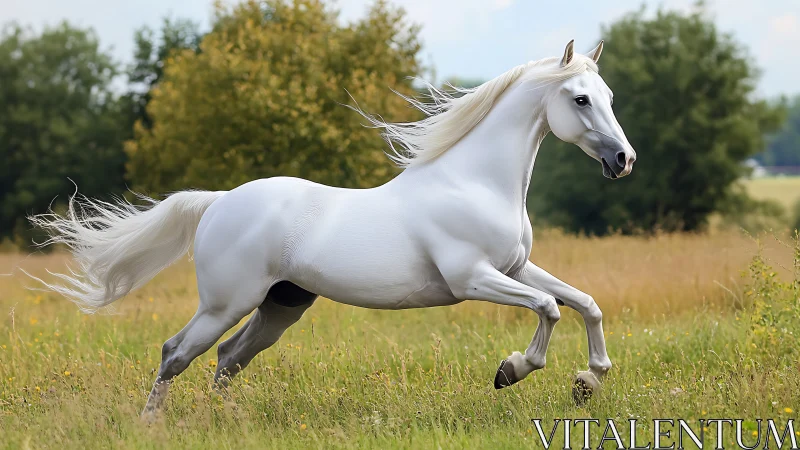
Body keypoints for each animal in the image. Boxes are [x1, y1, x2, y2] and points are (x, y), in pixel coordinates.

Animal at [30, 40, 636, 420]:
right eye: (580, 98)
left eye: (609, 96)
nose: (623, 161)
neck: (476, 181)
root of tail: (219, 202)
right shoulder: (473, 278)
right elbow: (550, 308)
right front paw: (512, 371)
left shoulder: (516, 268)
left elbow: (584, 303)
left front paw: (588, 382)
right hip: (227, 303)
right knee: (176, 353)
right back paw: (151, 423)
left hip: (281, 305)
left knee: (228, 358)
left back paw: (227, 421)